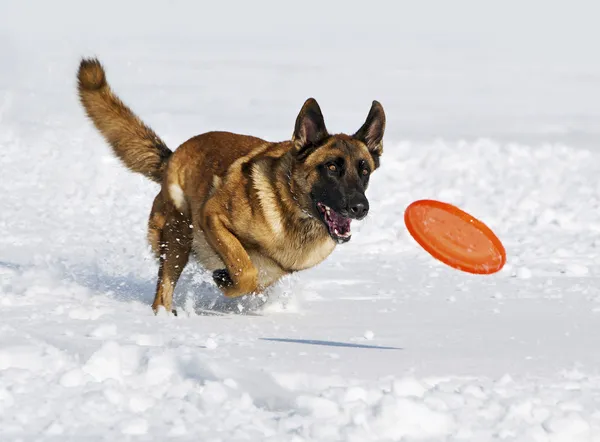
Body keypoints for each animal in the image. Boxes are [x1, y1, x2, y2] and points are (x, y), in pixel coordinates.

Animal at [77, 57, 386, 314]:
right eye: (331, 167)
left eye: (364, 171)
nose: (360, 207)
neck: (293, 208)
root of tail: (172, 156)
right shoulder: (212, 216)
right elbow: (243, 268)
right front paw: (225, 279)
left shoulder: (275, 271)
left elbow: (254, 278)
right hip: (178, 236)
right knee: (163, 291)